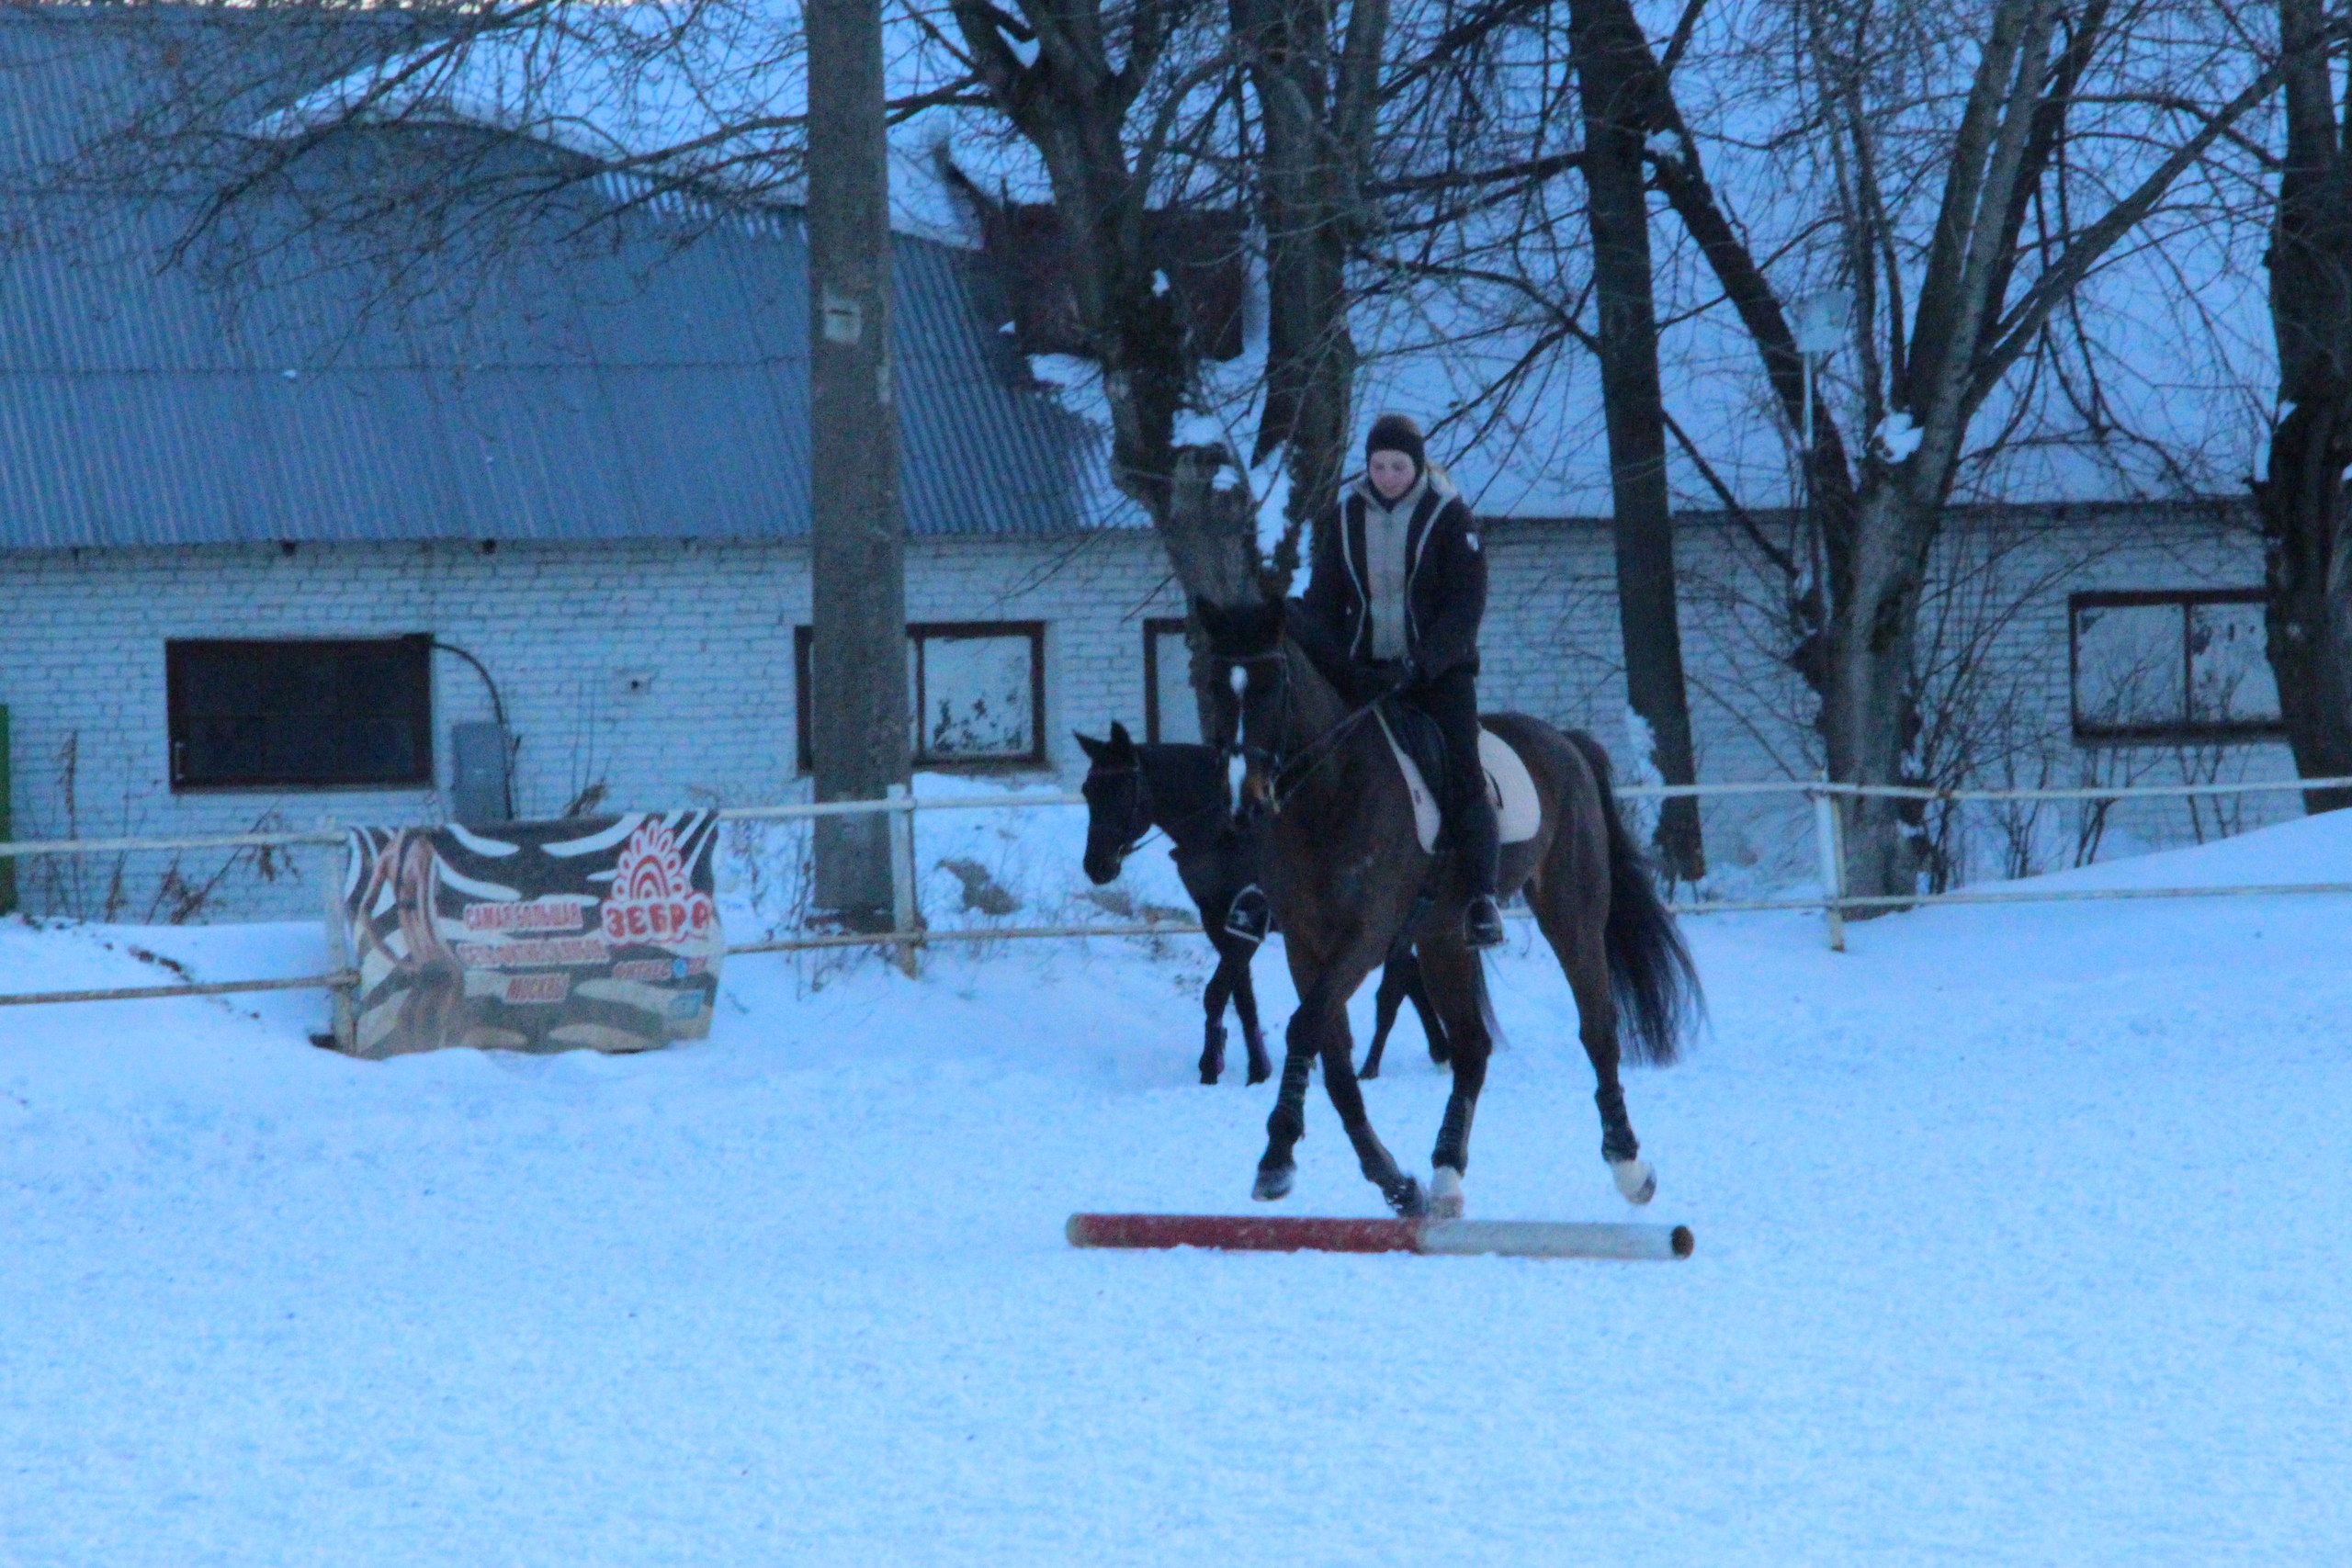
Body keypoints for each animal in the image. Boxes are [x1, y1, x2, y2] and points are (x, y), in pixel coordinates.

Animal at [1075, 722, 1449, 1086]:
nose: (1096, 866)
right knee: (1408, 976)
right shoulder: (1218, 920)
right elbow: (1242, 997)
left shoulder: (1252, 920)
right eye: (1088, 790)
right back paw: (1429, 1052)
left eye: (1124, 788)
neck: (1226, 832)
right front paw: (1257, 1068)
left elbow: (1218, 992)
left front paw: (1212, 1066)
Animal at [1197, 598, 1700, 1218]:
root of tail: (1565, 743)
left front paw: (1276, 1159)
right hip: (1442, 939)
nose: (1244, 805)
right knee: (1471, 1047)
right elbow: (1333, 1059)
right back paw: (1444, 1176)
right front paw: (1394, 1182)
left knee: (1597, 1029)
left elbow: (1305, 1028)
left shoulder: (1366, 938)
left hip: (1572, 911)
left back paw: (1630, 1167)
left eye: (1272, 687)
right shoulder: (1305, 944)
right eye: (1213, 686)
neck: (1332, 794)